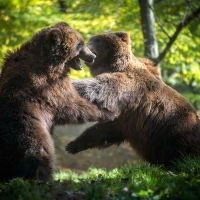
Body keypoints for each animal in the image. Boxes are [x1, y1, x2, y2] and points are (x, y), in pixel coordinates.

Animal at [0, 22, 114, 181]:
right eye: (80, 44)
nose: (92, 55)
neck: (52, 63)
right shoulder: (47, 86)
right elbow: (71, 105)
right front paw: (107, 112)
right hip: (27, 126)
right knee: (38, 152)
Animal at [66, 32, 200, 167]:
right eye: (91, 39)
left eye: (97, 40)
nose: (83, 46)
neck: (116, 65)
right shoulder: (125, 118)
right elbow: (104, 130)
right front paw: (73, 145)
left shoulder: (131, 86)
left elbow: (102, 86)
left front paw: (73, 83)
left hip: (174, 130)